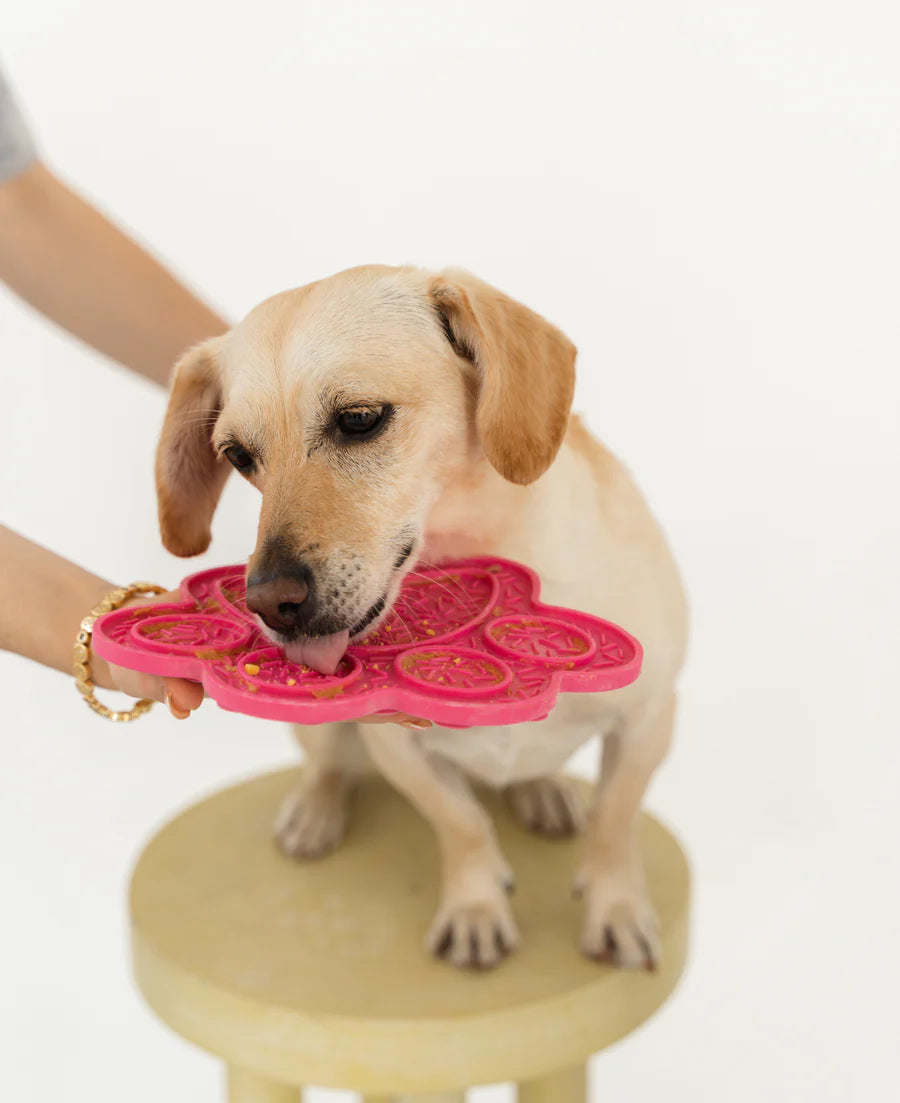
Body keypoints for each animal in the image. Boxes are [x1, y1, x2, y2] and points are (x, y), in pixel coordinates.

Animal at [156, 266, 688, 975]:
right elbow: (461, 823)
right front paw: (475, 907)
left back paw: (541, 790)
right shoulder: (398, 747)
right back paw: (316, 812)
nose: (268, 602)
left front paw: (617, 908)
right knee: (329, 765)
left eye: (359, 419)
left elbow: (614, 821)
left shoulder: (649, 718)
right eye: (239, 455)